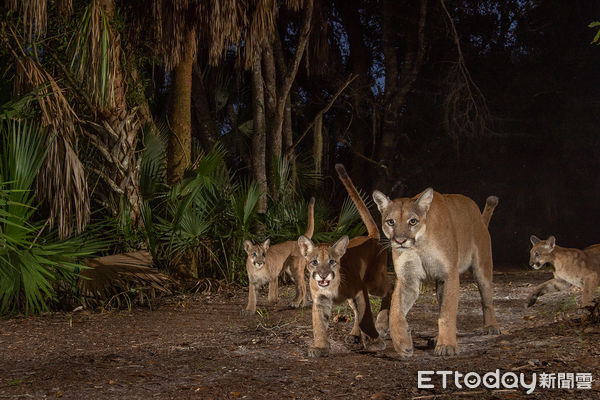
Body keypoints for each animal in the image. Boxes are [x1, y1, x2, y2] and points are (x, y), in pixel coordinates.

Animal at [296, 164, 394, 358]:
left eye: (332, 262)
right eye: (314, 262)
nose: (323, 276)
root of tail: (371, 237)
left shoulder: (360, 291)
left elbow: (366, 317)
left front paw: (375, 342)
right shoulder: (320, 300)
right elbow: (319, 325)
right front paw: (320, 347)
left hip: (374, 283)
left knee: (391, 285)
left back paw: (382, 324)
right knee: (356, 311)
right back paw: (354, 335)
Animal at [372, 189, 500, 358]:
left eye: (413, 221)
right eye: (391, 222)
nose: (400, 241)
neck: (419, 244)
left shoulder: (449, 274)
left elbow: (447, 314)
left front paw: (446, 345)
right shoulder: (407, 279)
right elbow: (396, 310)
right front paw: (403, 344)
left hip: (481, 267)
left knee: (487, 298)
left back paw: (491, 326)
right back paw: (436, 338)